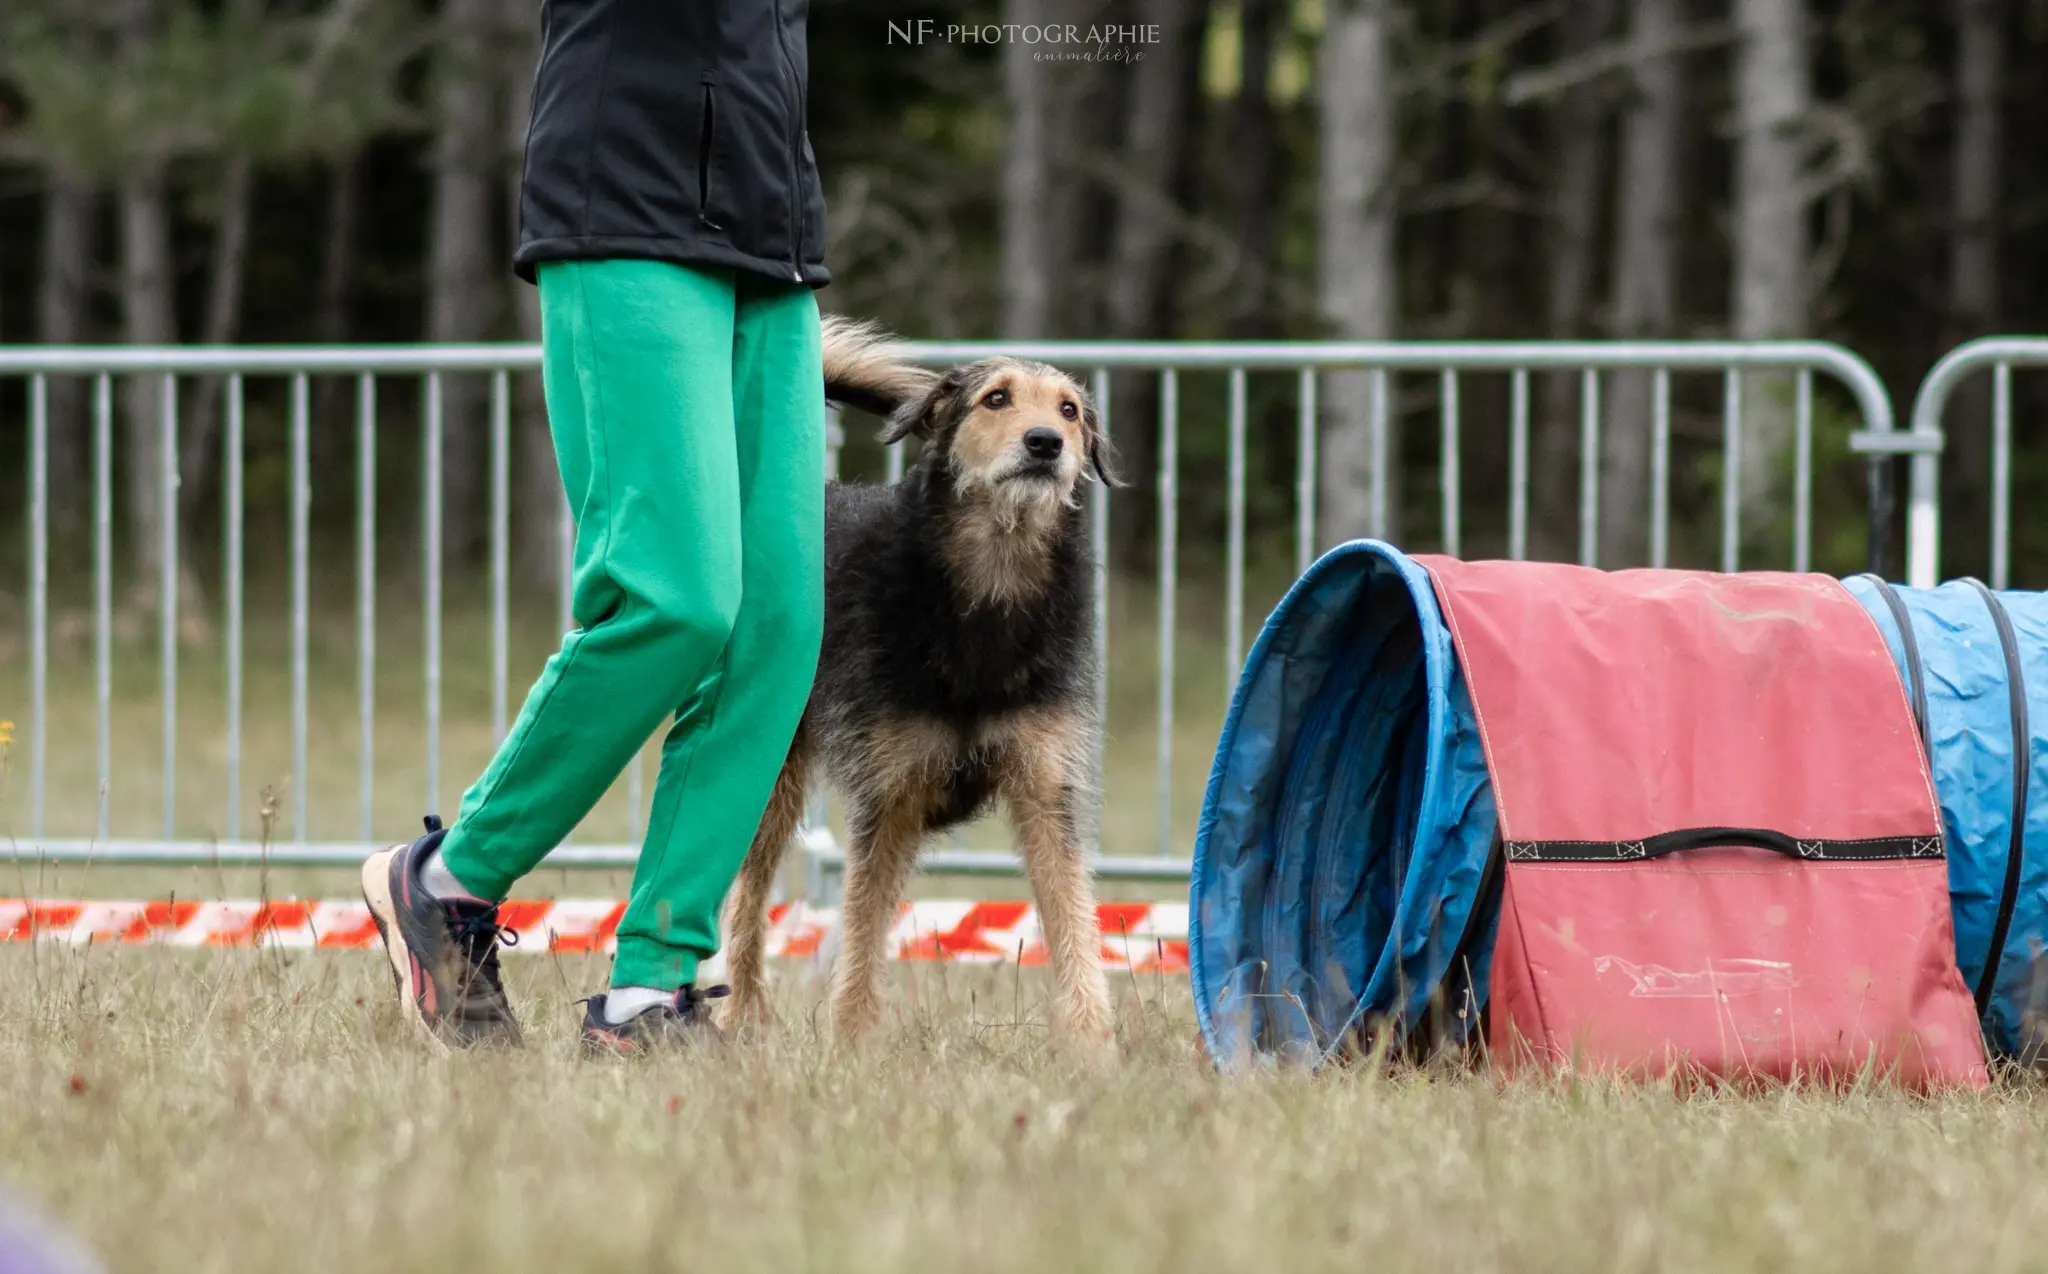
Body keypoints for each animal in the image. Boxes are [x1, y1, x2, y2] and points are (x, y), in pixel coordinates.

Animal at [720, 321, 1122, 1065]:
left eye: (1069, 412)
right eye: (997, 398)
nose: (1045, 444)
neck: (984, 593)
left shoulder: (1044, 787)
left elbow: (1074, 921)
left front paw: (1092, 1050)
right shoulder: (891, 797)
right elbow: (859, 931)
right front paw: (851, 1047)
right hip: (768, 778)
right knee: (744, 901)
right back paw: (739, 1020)